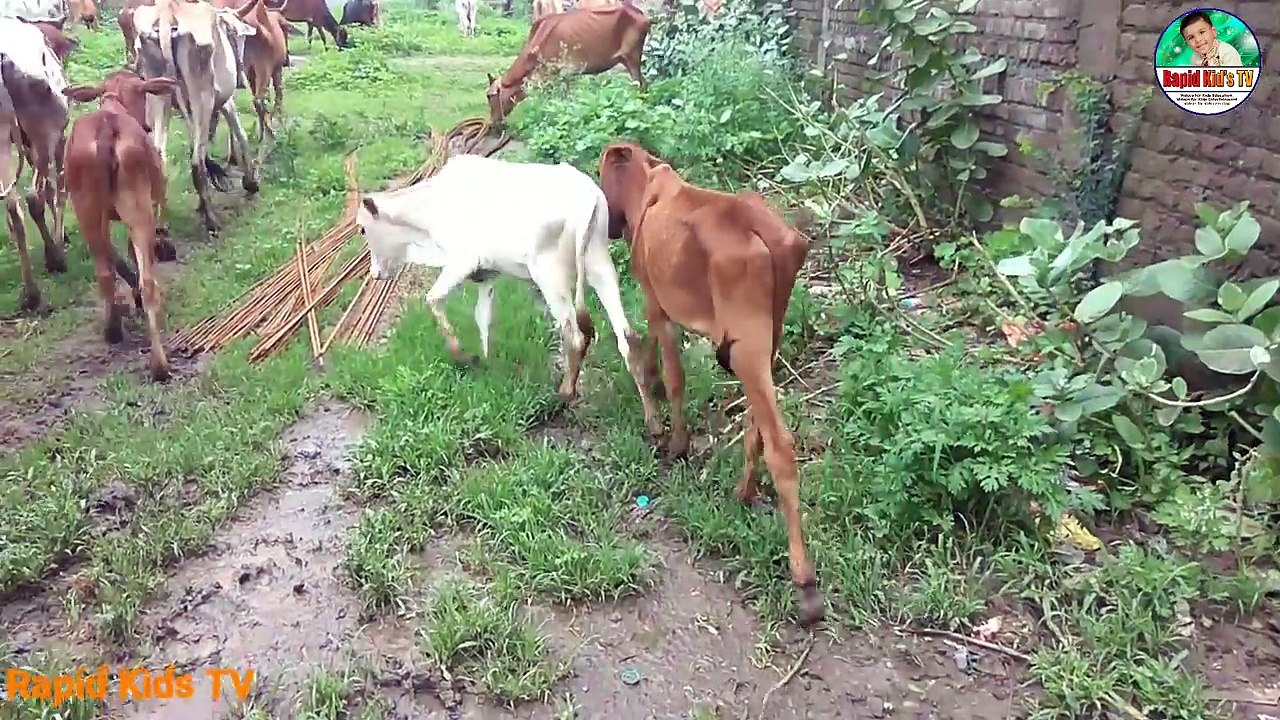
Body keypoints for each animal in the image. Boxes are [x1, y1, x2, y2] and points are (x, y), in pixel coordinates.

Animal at [62, 71, 181, 381]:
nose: (147, 125)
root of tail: (106, 127)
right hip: (138, 209)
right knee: (148, 281)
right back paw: (159, 364)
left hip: (87, 210)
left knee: (104, 273)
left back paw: (113, 329)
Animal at [131, 0, 260, 234]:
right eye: (239, 37)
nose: (241, 78)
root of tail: (168, 14)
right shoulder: (225, 101)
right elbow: (240, 133)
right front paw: (250, 182)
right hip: (202, 97)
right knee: (197, 162)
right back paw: (211, 221)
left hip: (157, 95)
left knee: (160, 155)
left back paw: (161, 223)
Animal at [351, 153, 651, 405]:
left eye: (363, 229)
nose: (375, 273)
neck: (429, 210)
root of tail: (587, 198)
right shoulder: (486, 275)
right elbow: (482, 318)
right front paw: (487, 364)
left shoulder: (462, 261)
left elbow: (433, 299)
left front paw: (462, 356)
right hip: (600, 266)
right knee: (628, 338)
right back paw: (653, 421)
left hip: (550, 276)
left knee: (576, 336)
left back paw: (565, 392)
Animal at [485, 3, 649, 127]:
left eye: (489, 95)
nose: (491, 122)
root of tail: (642, 14)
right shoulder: (564, 75)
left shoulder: (555, 73)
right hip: (626, 59)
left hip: (632, 57)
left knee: (640, 85)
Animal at [597, 140, 822, 628]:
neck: (651, 185)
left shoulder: (657, 306)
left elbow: (675, 377)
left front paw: (676, 443)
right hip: (766, 343)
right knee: (759, 427)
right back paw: (744, 492)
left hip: (748, 347)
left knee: (781, 446)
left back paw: (805, 581)